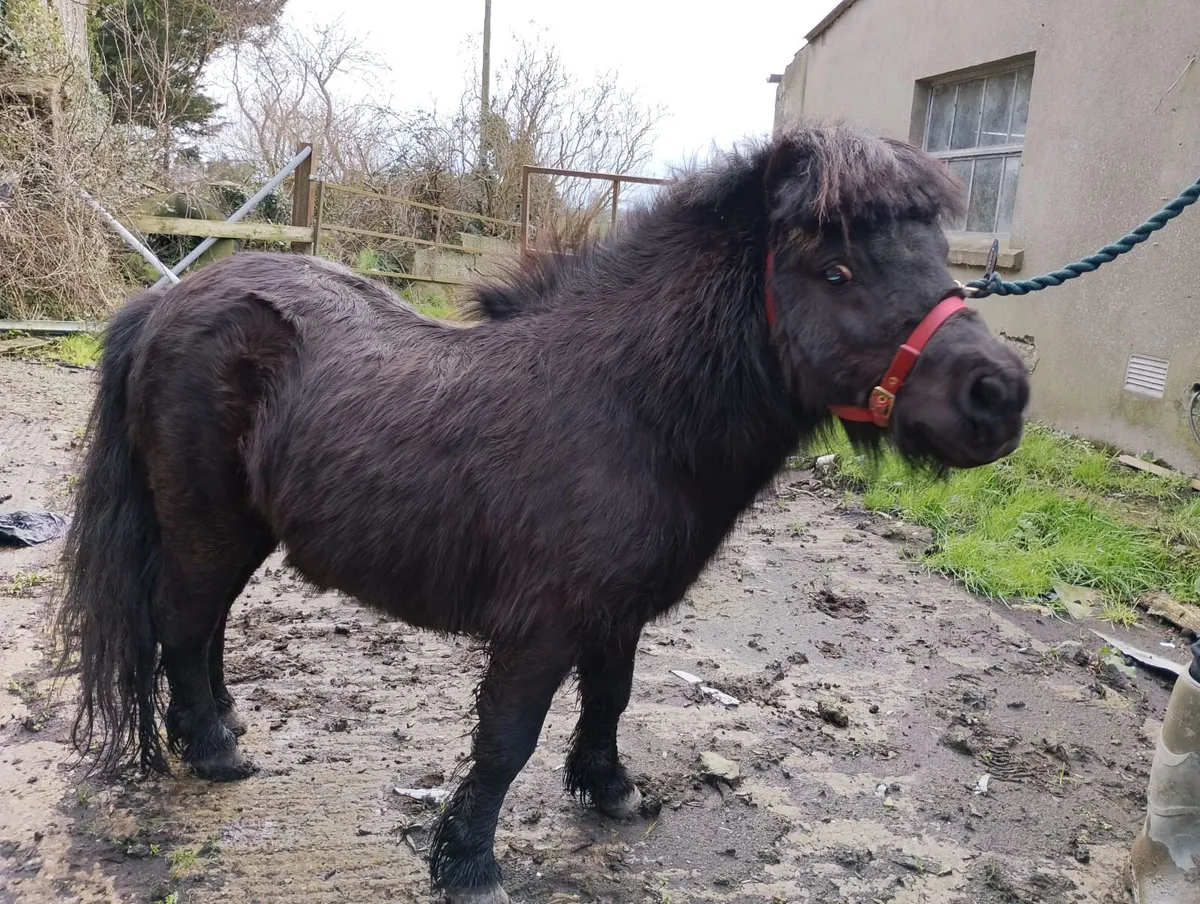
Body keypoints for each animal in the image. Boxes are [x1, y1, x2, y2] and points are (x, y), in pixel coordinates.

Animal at [55, 124, 1029, 903]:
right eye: (836, 269)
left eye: (936, 259)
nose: (1000, 396)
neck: (628, 407)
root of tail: (167, 299)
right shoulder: (541, 625)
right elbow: (507, 740)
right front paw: (469, 865)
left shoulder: (616, 615)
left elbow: (610, 701)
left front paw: (610, 791)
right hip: (206, 524)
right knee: (184, 624)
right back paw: (214, 752)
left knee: (206, 627)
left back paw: (221, 725)